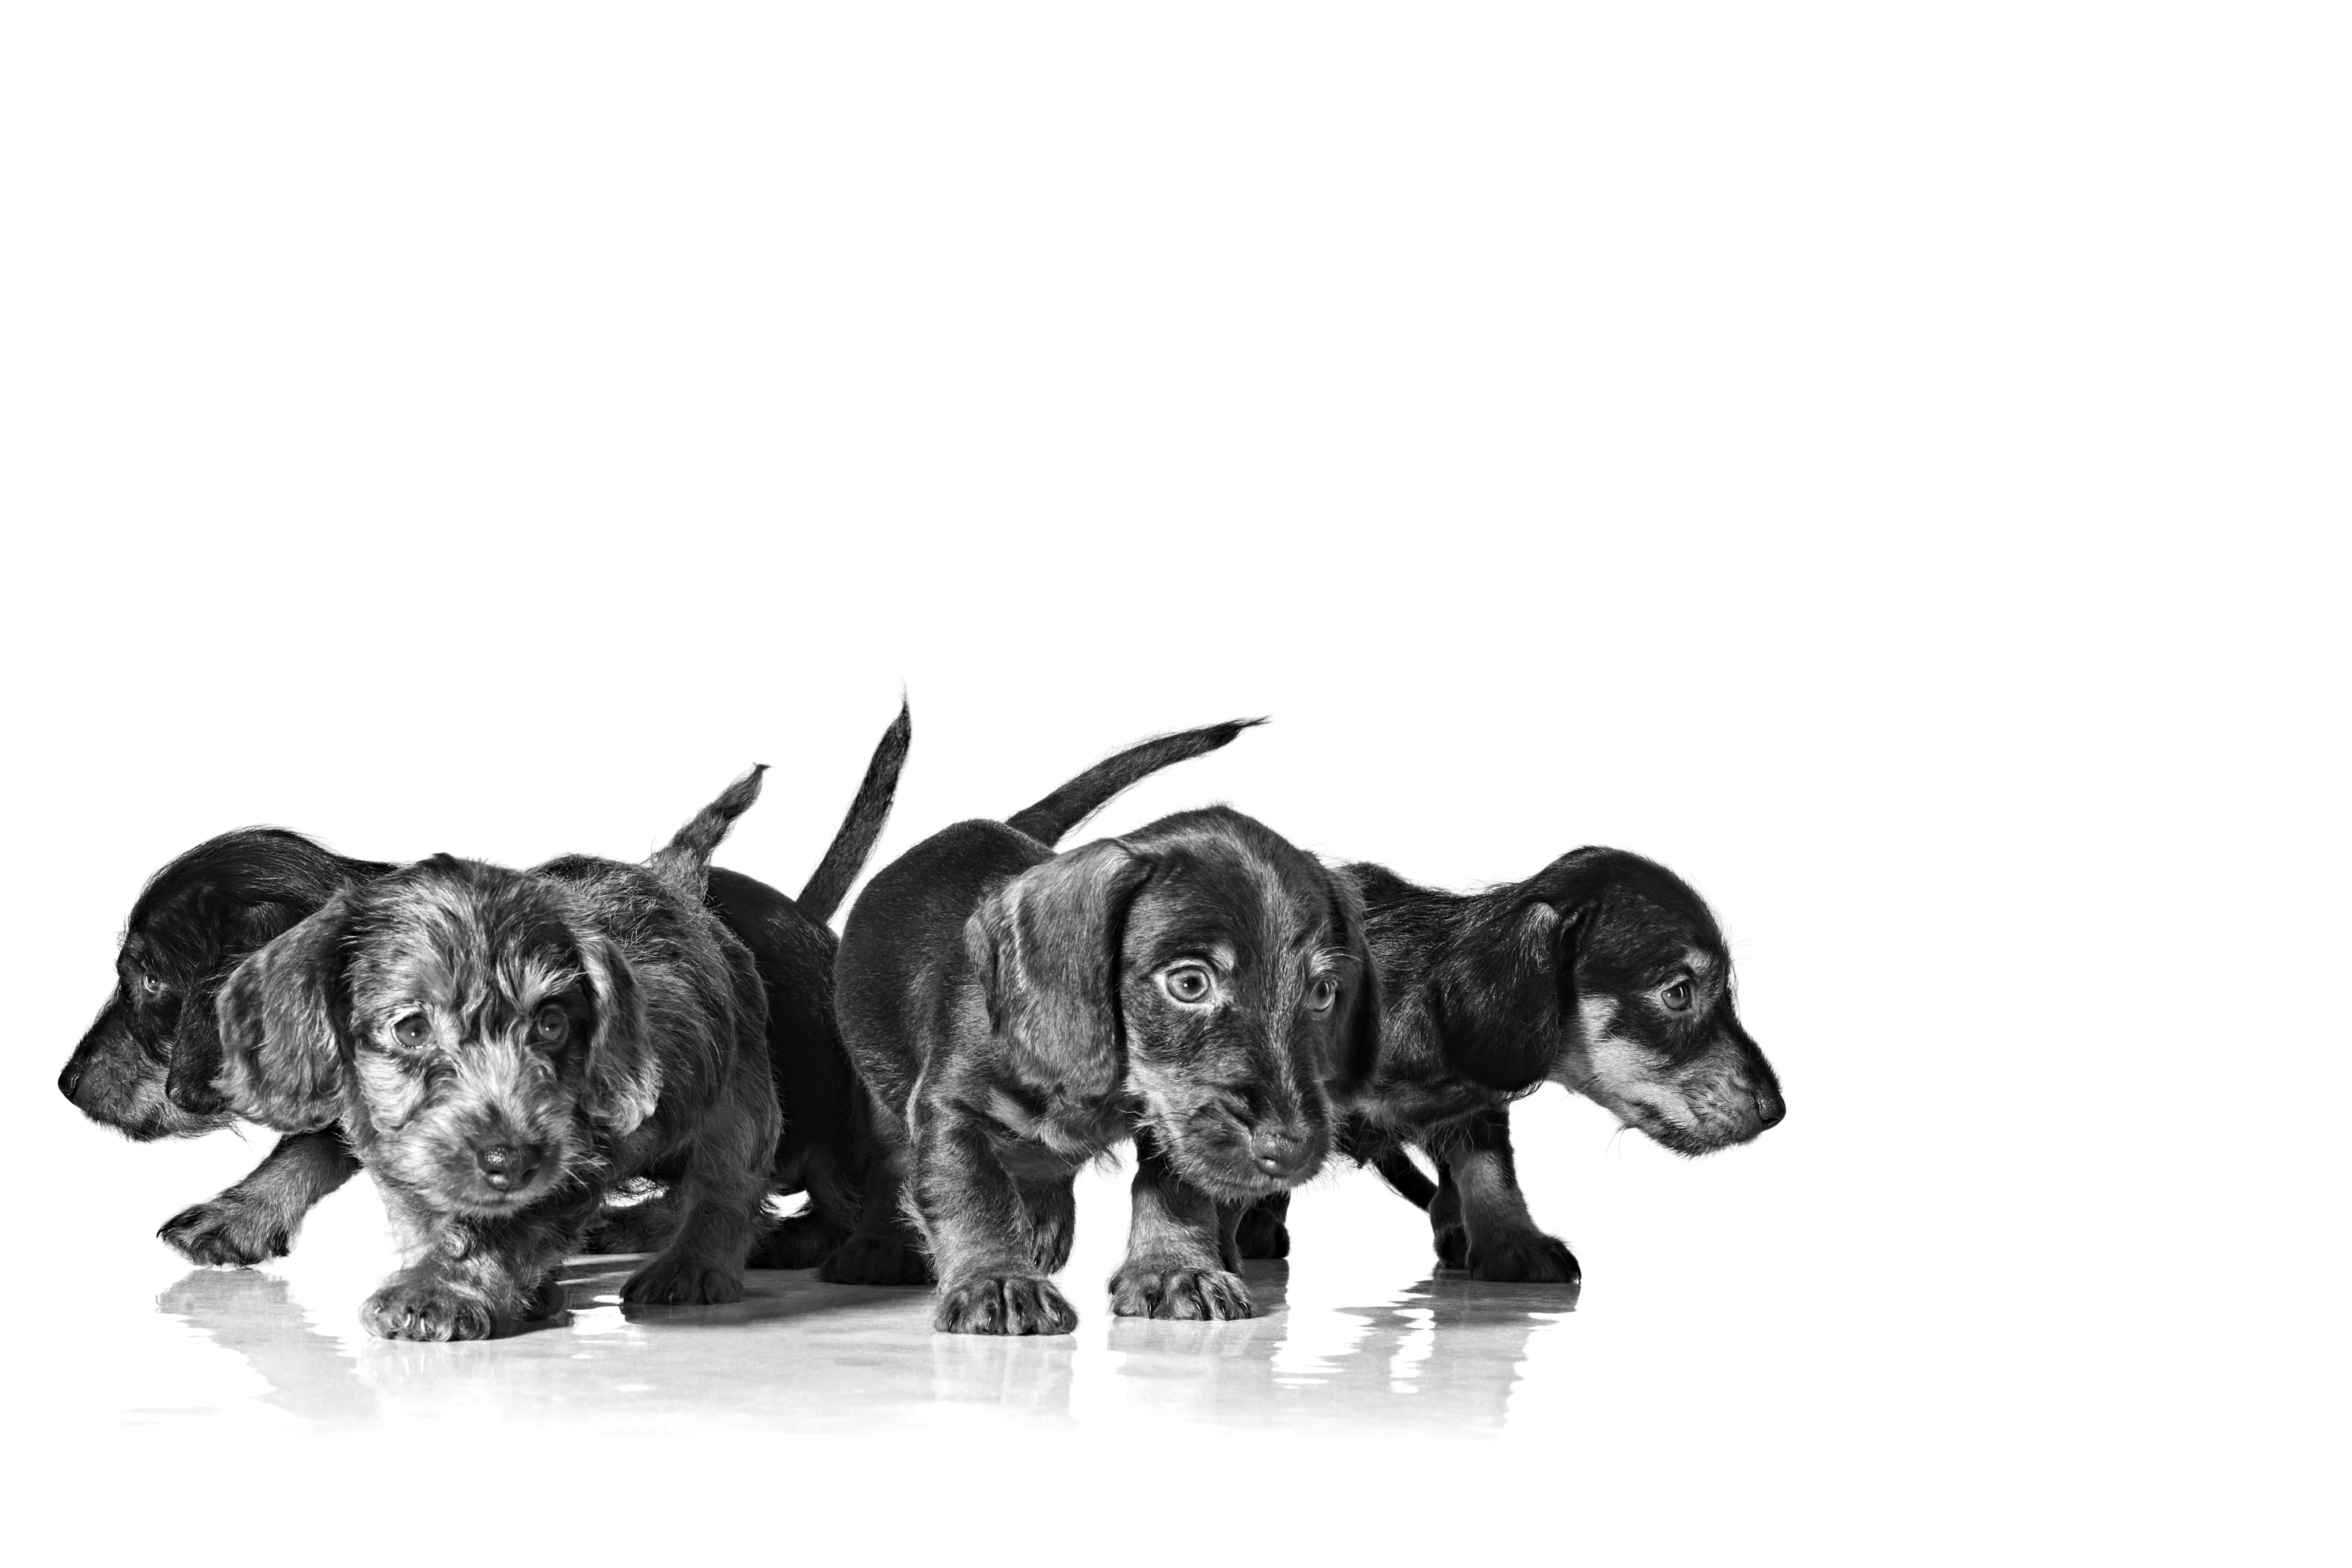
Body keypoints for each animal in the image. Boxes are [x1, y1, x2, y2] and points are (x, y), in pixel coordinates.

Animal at [215, 771, 781, 1335]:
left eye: (551, 1025)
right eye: (412, 1031)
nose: (511, 1160)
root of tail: (672, 881)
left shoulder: (575, 1158)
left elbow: (495, 1230)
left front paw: (437, 1291)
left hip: (742, 1093)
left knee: (725, 1182)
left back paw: (693, 1266)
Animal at [837, 729, 1373, 1335]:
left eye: (1323, 992)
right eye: (1190, 982)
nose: (1292, 1149)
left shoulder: (1171, 1120)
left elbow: (1173, 1188)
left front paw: (1175, 1268)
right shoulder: (949, 1106)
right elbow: (971, 1192)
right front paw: (995, 1279)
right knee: (889, 1156)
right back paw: (882, 1242)